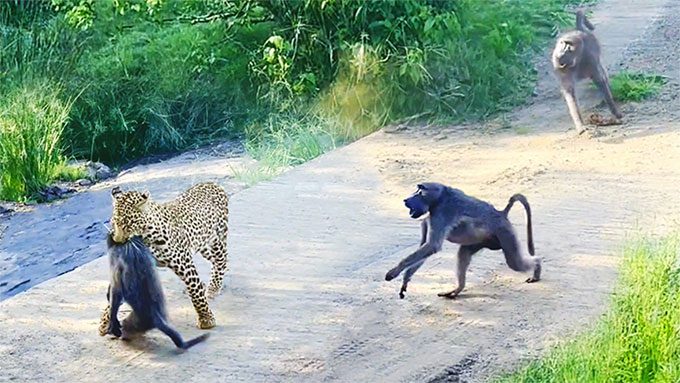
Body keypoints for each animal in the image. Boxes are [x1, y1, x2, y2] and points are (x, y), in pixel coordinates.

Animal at [98, 183, 230, 332]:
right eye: (113, 223)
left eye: (127, 224)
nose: (117, 241)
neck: (146, 238)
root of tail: (211, 183)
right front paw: (105, 322)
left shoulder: (184, 263)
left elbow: (196, 293)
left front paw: (206, 319)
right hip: (201, 244)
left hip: (217, 238)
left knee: (221, 259)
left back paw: (214, 287)